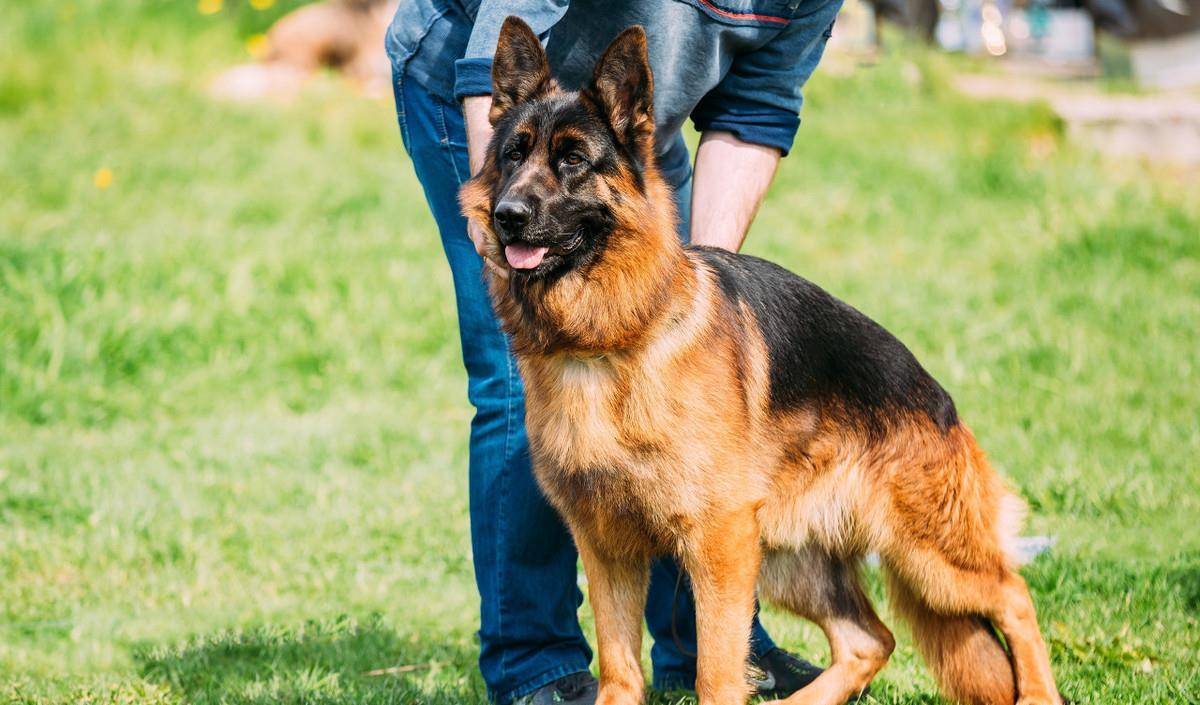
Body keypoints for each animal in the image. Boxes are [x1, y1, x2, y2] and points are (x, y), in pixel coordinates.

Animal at [458, 16, 1060, 705]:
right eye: (513, 155)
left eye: (574, 161)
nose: (507, 217)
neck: (609, 340)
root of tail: (937, 396)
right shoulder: (607, 546)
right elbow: (619, 665)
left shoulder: (718, 542)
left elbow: (717, 670)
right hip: (788, 559)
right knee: (869, 639)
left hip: (925, 554)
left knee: (1013, 596)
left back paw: (1039, 693)